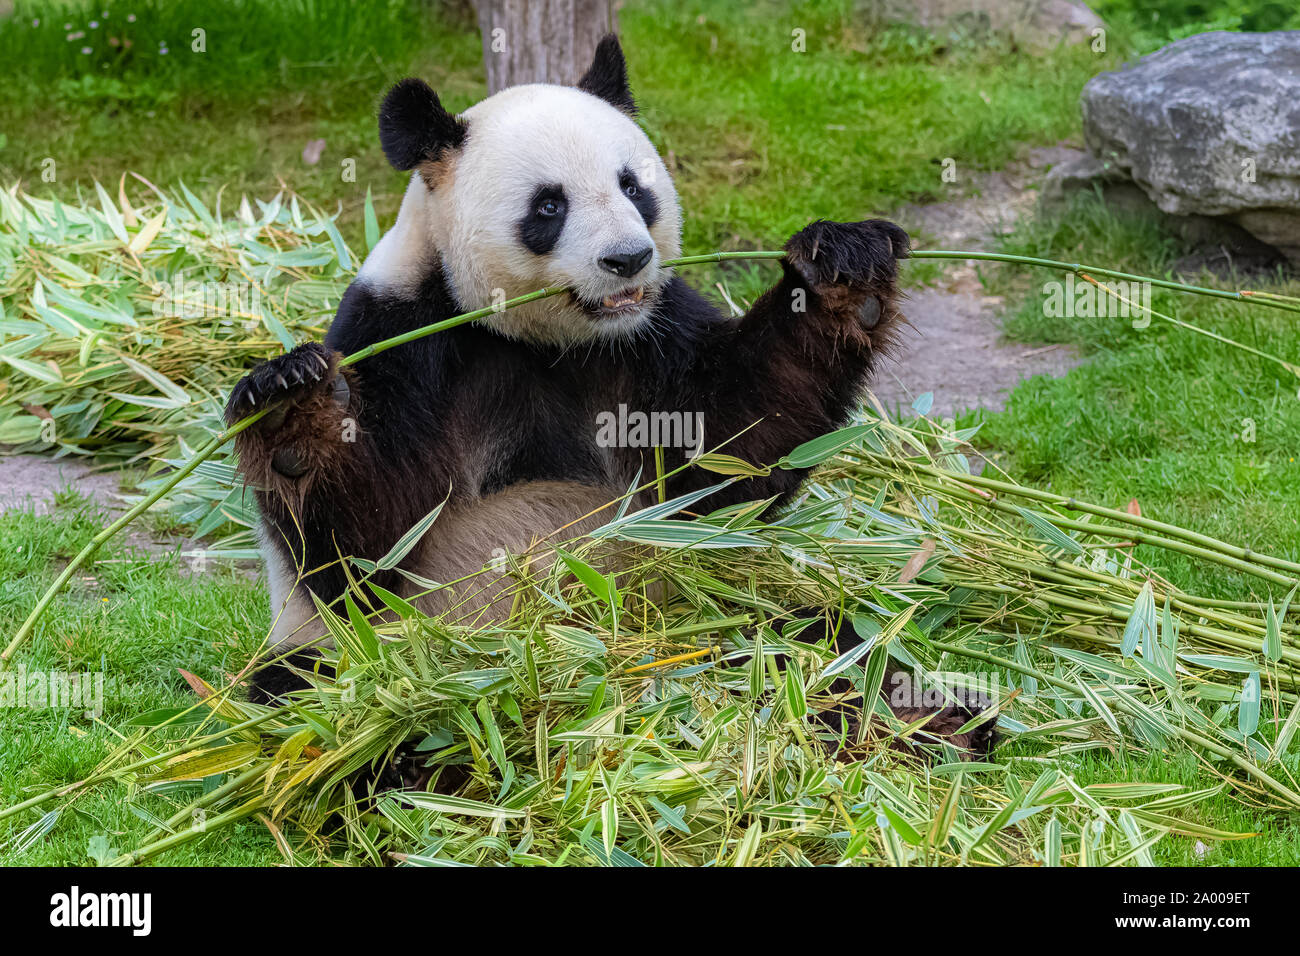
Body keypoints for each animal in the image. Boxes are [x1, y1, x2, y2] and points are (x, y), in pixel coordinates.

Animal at [226, 35, 995, 756]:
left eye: (633, 188)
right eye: (548, 205)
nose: (628, 259)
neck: (542, 339)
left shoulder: (648, 340)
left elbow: (726, 451)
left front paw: (844, 271)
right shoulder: (404, 334)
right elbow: (364, 550)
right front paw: (290, 408)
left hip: (711, 604)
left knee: (822, 640)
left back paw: (934, 719)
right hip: (336, 658)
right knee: (318, 702)